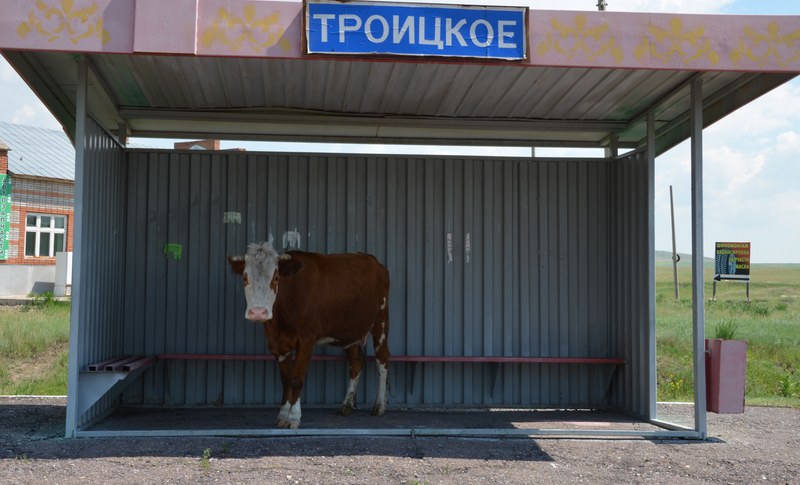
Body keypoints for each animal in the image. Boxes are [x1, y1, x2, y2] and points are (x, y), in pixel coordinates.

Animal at [225, 241, 390, 428]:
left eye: (276, 278)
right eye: (245, 277)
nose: (258, 312)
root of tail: (372, 260)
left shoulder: (306, 339)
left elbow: (297, 378)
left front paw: (294, 417)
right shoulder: (278, 343)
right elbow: (286, 379)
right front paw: (283, 415)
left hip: (381, 319)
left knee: (382, 359)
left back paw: (379, 406)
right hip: (349, 330)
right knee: (356, 362)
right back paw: (346, 405)